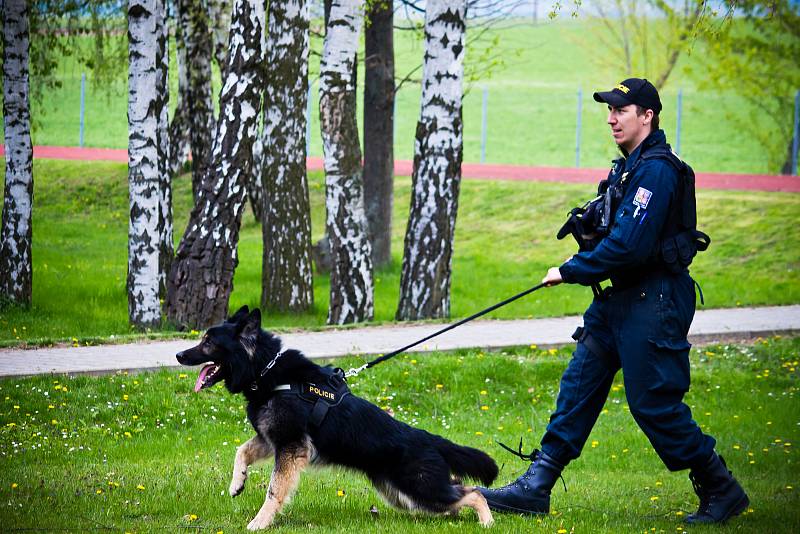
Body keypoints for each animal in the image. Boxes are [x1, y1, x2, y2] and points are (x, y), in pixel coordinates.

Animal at [178, 308, 496, 528]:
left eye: (208, 342)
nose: (179, 355)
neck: (265, 370)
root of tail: (428, 438)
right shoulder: (272, 439)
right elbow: (241, 450)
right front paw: (237, 482)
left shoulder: (290, 447)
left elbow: (273, 491)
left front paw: (260, 522)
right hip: (407, 495)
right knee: (459, 492)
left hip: (421, 489)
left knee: (474, 493)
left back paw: (487, 522)